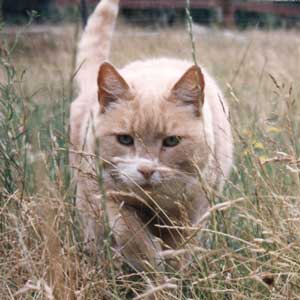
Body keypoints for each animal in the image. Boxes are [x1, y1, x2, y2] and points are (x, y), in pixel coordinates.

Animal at [69, 0, 232, 274]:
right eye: (125, 139)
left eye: (171, 141)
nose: (146, 169)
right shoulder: (108, 195)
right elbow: (132, 235)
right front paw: (151, 267)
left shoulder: (189, 212)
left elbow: (179, 250)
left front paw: (173, 275)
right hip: (86, 197)